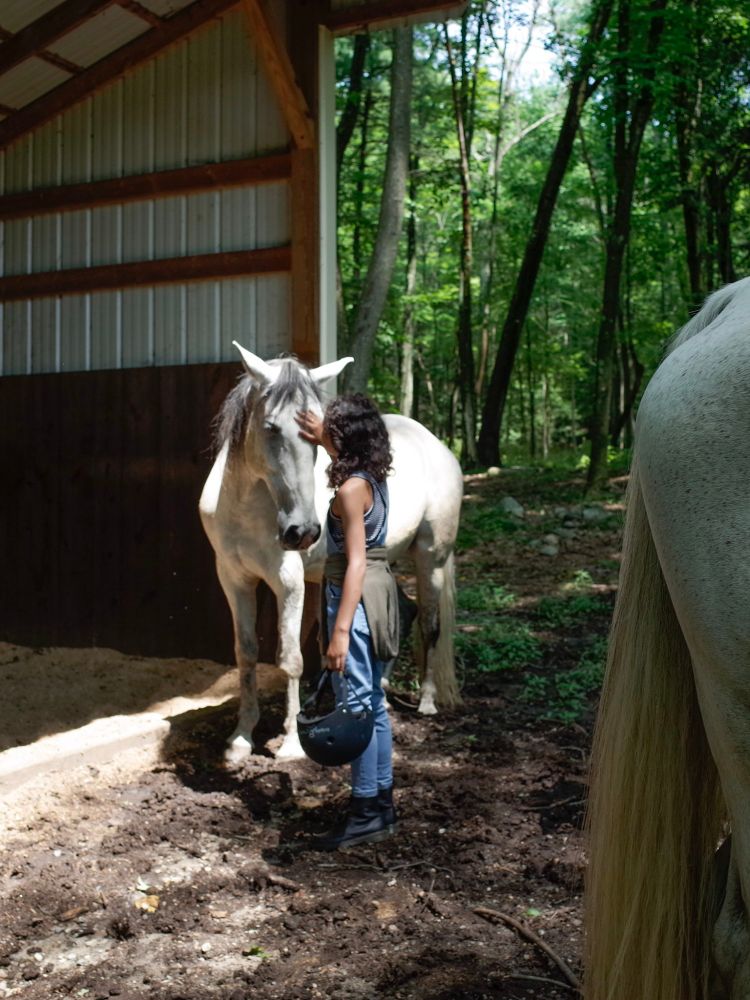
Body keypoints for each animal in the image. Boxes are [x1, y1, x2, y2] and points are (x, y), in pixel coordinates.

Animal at [199, 344, 463, 762]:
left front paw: (291, 744)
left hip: (431, 559)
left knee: (430, 624)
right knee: (402, 615)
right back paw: (381, 691)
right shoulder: (234, 578)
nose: (303, 531)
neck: (246, 508)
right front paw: (241, 737)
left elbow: (290, 658)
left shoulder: (287, 582)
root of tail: (437, 445)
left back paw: (427, 702)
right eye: (270, 427)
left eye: (314, 432)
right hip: (381, 562)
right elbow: (246, 652)